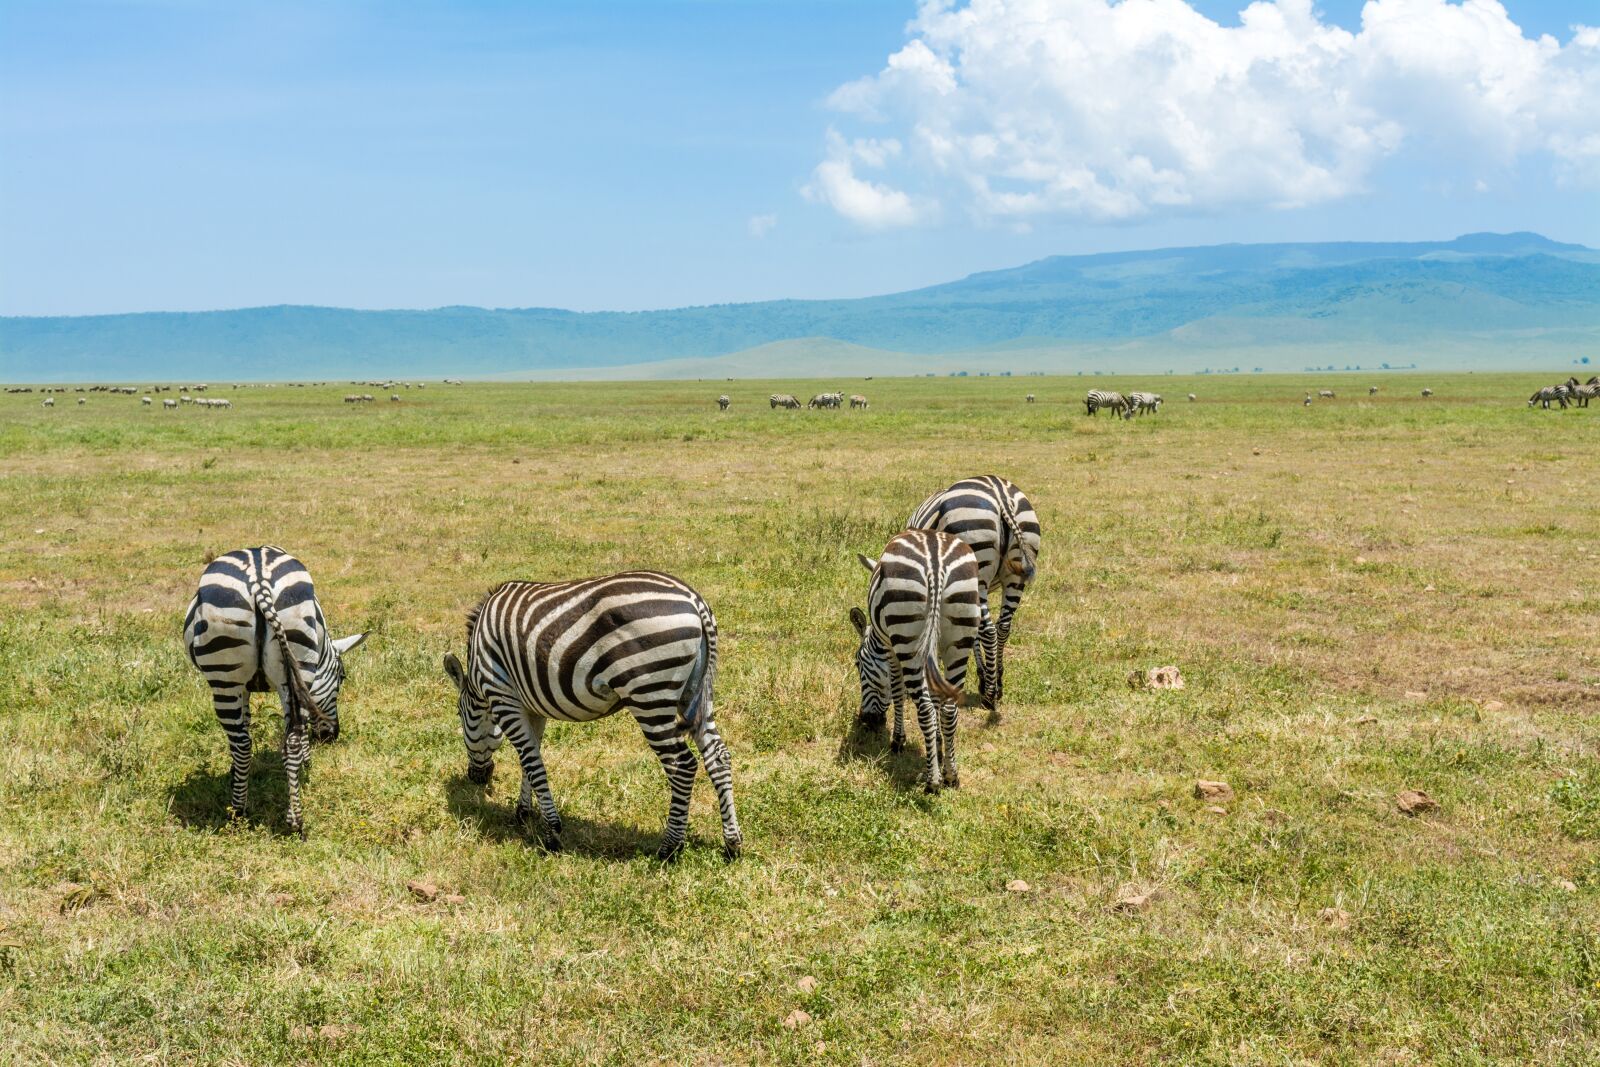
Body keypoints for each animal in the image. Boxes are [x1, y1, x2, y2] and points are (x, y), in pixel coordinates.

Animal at [182, 547, 368, 833]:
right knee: (287, 740)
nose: (331, 736)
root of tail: (259, 581)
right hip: (294, 659)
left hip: (226, 676)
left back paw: (238, 812)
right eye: (342, 677)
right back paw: (295, 820)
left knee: (243, 743)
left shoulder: (253, 686)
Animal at [443, 571, 742, 859]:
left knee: (682, 765)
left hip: (649, 695)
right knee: (718, 756)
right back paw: (732, 844)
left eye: (460, 715)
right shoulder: (531, 707)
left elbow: (532, 762)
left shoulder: (503, 696)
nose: (476, 778)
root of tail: (694, 600)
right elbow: (529, 759)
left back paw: (669, 848)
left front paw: (552, 834)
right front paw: (523, 813)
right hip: (694, 693)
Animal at [849, 530, 982, 792]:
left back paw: (933, 782)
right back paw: (951, 776)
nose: (866, 720)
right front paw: (938, 744)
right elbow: (937, 694)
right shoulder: (934, 650)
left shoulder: (890, 648)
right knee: (950, 708)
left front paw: (898, 740)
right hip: (960, 636)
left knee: (925, 708)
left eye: (858, 664)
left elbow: (898, 692)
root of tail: (936, 562)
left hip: (906, 634)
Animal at [906, 476, 1040, 714]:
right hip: (1016, 574)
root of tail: (1000, 493)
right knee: (1003, 627)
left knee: (988, 630)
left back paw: (989, 695)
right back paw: (998, 684)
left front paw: (982, 679)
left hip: (976, 562)